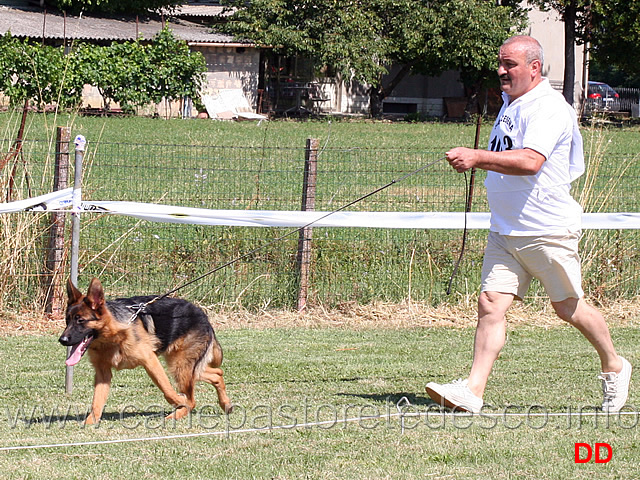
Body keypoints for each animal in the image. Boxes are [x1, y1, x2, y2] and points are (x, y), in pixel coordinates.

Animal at [58, 278, 234, 424]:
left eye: (80, 320)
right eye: (67, 320)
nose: (62, 340)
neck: (111, 336)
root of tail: (203, 316)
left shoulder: (150, 361)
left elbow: (167, 390)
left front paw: (180, 402)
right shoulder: (103, 373)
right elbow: (96, 402)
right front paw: (89, 423)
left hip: (180, 367)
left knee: (192, 398)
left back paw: (177, 413)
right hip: (184, 366)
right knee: (217, 373)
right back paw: (225, 404)